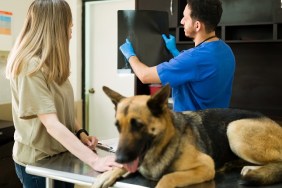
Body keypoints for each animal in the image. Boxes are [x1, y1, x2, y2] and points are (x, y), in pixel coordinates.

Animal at [93, 85, 282, 188]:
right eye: (117, 126)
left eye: (138, 125)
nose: (119, 158)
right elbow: (123, 168)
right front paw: (107, 174)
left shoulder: (205, 166)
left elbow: (169, 177)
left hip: (234, 129)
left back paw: (251, 169)